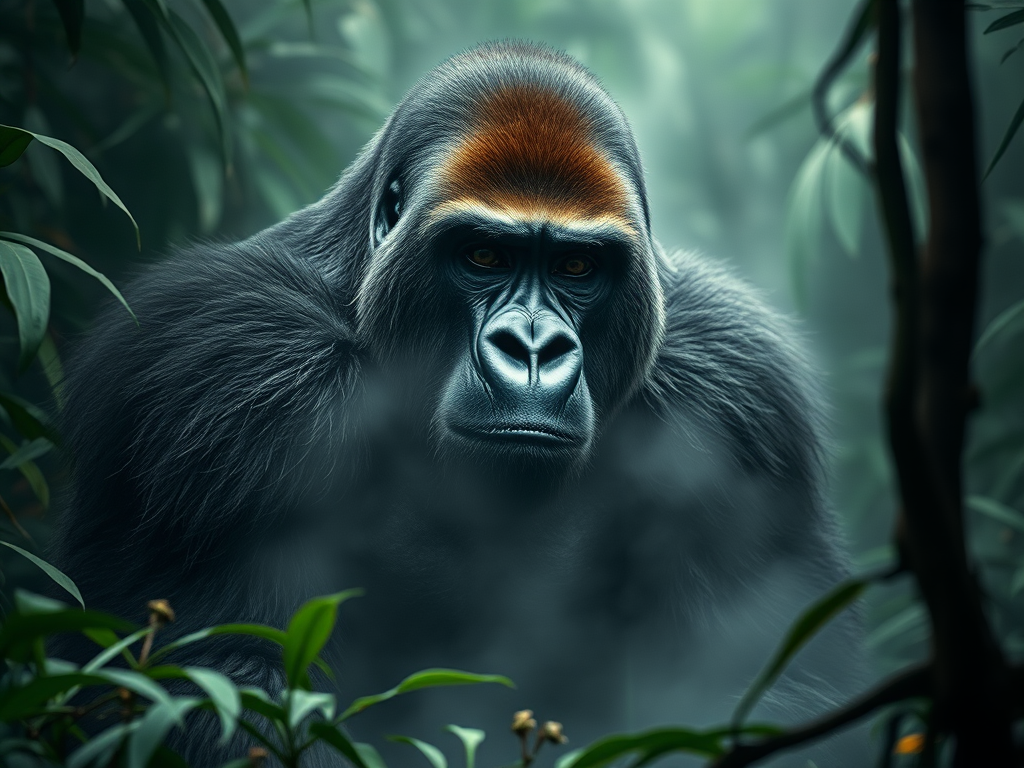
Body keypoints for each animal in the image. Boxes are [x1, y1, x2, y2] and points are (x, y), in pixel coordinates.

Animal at [51, 42, 867, 767]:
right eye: (483, 255)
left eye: (577, 266)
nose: (532, 348)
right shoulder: (216, 368)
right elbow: (219, 684)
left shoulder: (740, 398)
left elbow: (773, 687)